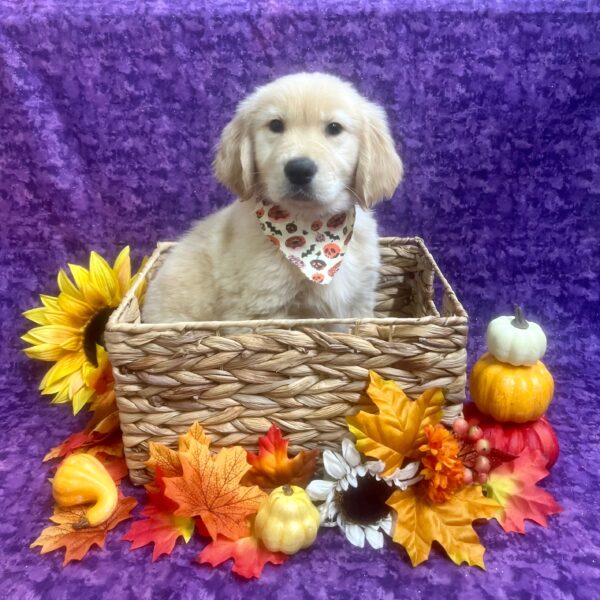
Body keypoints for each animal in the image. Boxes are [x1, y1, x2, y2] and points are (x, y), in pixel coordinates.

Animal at [141, 74, 404, 328]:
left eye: (334, 128)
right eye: (276, 125)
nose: (299, 170)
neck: (311, 228)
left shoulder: (359, 301)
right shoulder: (260, 310)